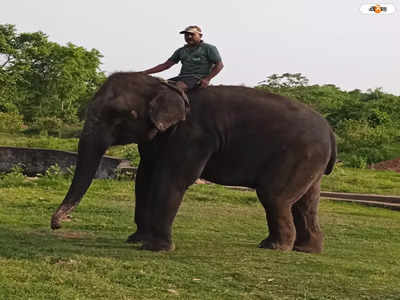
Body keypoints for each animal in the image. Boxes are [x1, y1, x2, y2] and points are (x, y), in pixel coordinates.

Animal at [50, 72, 338, 253]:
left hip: (300, 154)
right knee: (306, 203)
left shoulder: (194, 136)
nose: (57, 224)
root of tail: (331, 132)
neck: (162, 86)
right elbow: (145, 177)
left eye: (120, 115)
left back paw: (274, 247)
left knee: (275, 197)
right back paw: (306, 249)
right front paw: (135, 240)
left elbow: (171, 178)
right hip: (311, 161)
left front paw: (155, 249)